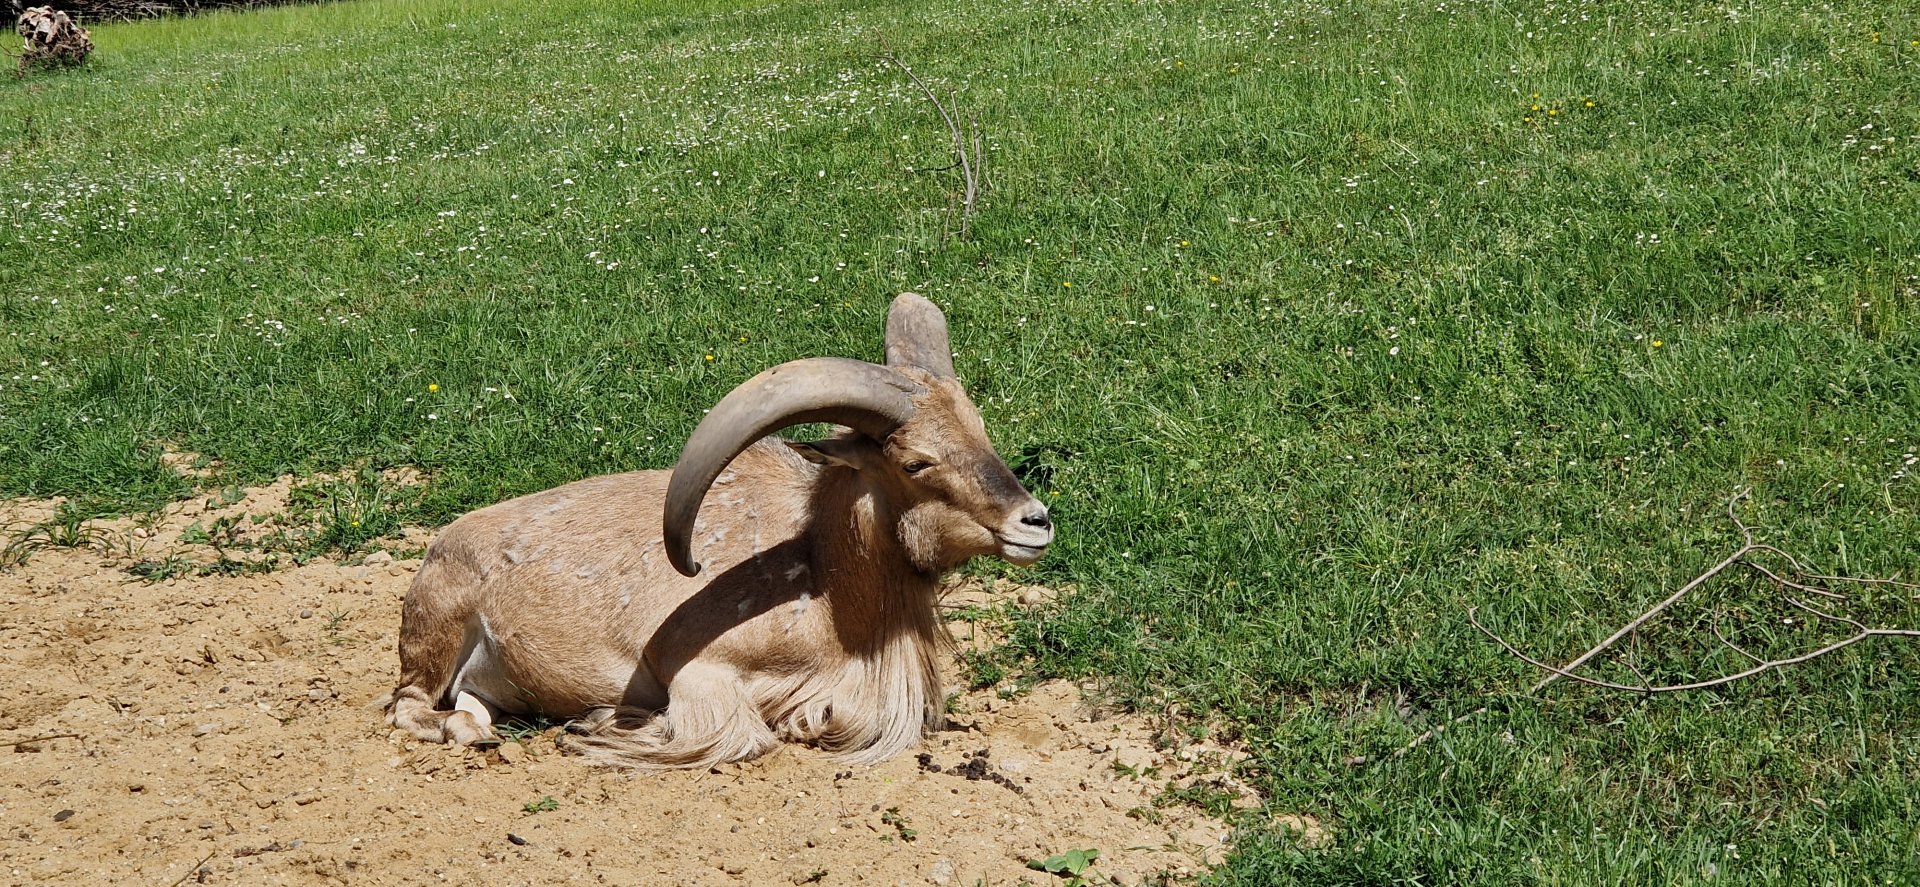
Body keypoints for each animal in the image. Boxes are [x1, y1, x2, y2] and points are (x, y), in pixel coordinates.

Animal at [388, 293, 1053, 768]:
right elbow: (741, 737)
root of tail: (440, 547)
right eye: (916, 462)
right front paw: (602, 723)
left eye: (979, 431)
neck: (826, 592)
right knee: (410, 707)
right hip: (436, 629)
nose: (1036, 522)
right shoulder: (696, 669)